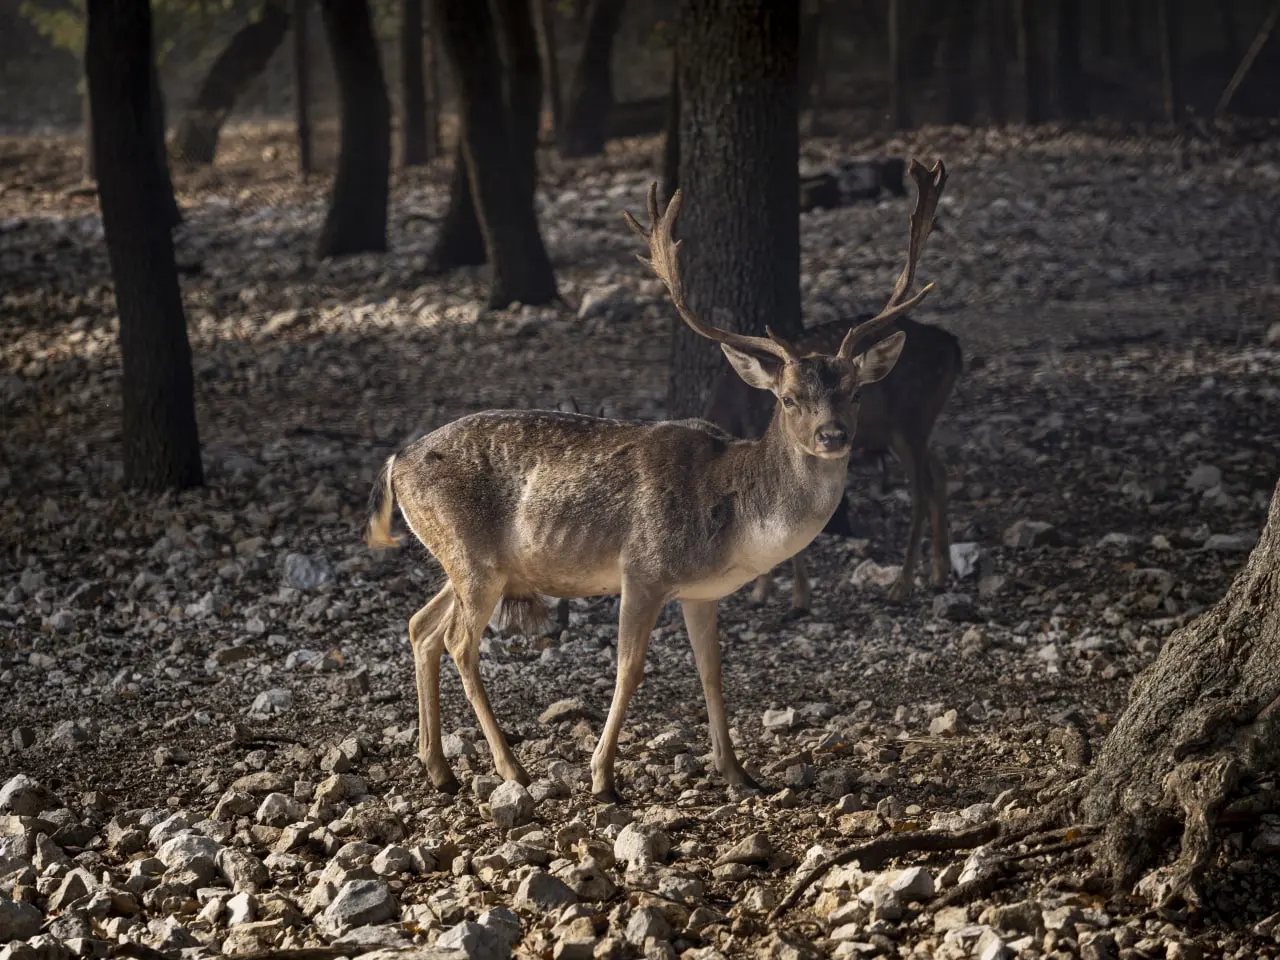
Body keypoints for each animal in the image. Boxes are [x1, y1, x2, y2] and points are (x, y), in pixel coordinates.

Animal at [366, 159, 946, 801]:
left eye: (857, 392)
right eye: (789, 398)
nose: (833, 435)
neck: (736, 523)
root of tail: (395, 463)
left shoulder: (702, 592)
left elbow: (712, 671)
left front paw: (738, 772)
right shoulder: (642, 568)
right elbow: (629, 667)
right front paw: (601, 776)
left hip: (468, 561)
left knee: (421, 626)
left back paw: (439, 767)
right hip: (473, 557)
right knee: (458, 643)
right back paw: (512, 769)